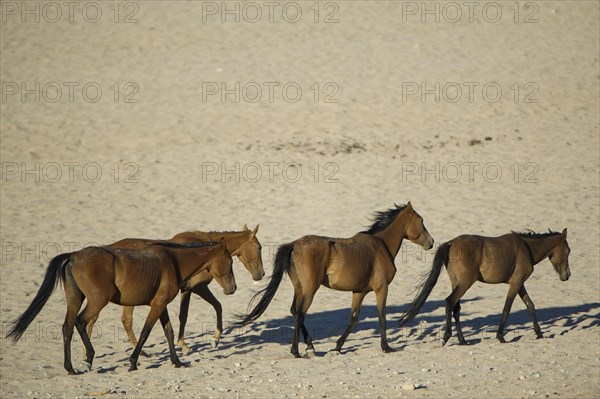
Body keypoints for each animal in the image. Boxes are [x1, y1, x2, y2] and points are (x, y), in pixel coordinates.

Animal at [7, 238, 237, 376]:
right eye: (230, 262)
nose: (233, 288)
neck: (174, 261)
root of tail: (74, 255)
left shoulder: (160, 306)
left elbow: (169, 332)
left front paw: (177, 361)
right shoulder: (157, 305)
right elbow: (145, 333)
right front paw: (133, 362)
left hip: (75, 299)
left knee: (68, 327)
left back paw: (70, 368)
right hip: (98, 300)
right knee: (81, 322)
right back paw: (89, 358)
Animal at [85, 225, 264, 354]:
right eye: (259, 247)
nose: (261, 274)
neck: (202, 252)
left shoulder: (189, 289)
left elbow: (200, 311)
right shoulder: (196, 288)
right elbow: (203, 310)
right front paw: (207, 340)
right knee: (121, 320)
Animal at [237, 202, 434, 358]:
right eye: (421, 220)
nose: (431, 242)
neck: (381, 246)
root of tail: (293, 245)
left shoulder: (359, 292)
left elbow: (353, 320)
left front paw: (337, 347)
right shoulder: (381, 288)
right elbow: (382, 318)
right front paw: (386, 347)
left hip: (299, 289)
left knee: (295, 311)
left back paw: (310, 346)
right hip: (310, 290)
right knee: (300, 314)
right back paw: (296, 351)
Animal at [398, 230, 572, 346]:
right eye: (568, 251)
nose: (567, 275)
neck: (526, 247)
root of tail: (451, 243)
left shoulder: (520, 284)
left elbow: (530, 305)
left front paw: (539, 333)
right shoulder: (516, 283)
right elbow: (507, 308)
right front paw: (500, 335)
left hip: (457, 283)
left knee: (456, 308)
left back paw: (462, 340)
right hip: (465, 283)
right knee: (450, 302)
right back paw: (447, 336)